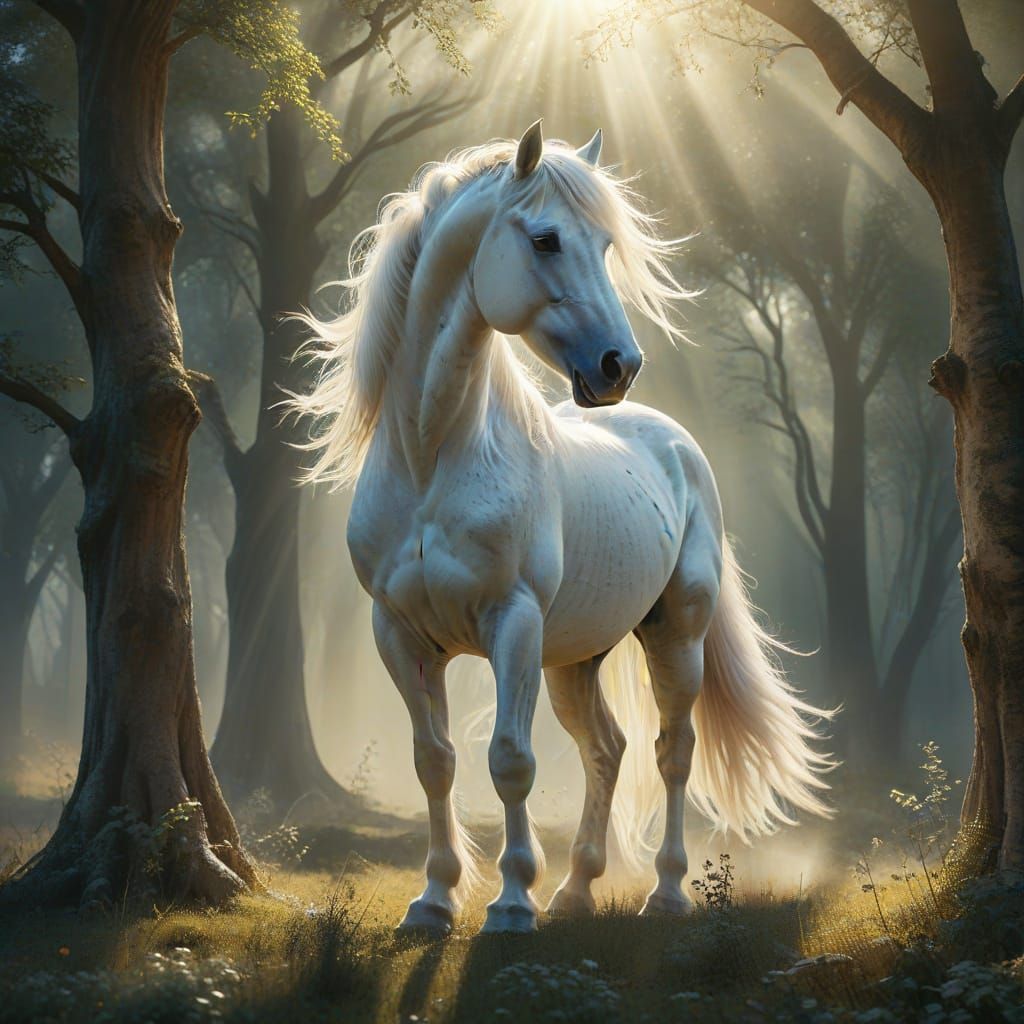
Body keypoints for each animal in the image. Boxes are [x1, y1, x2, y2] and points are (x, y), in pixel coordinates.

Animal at [289, 120, 833, 935]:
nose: (619, 366)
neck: (435, 459)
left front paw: (512, 903)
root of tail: (676, 442)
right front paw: (434, 901)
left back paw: (665, 893)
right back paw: (577, 890)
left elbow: (510, 760)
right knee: (606, 748)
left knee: (673, 750)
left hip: (676, 635)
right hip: (574, 657)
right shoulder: (401, 635)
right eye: (546, 240)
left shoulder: (512, 623)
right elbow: (434, 761)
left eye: (605, 246)